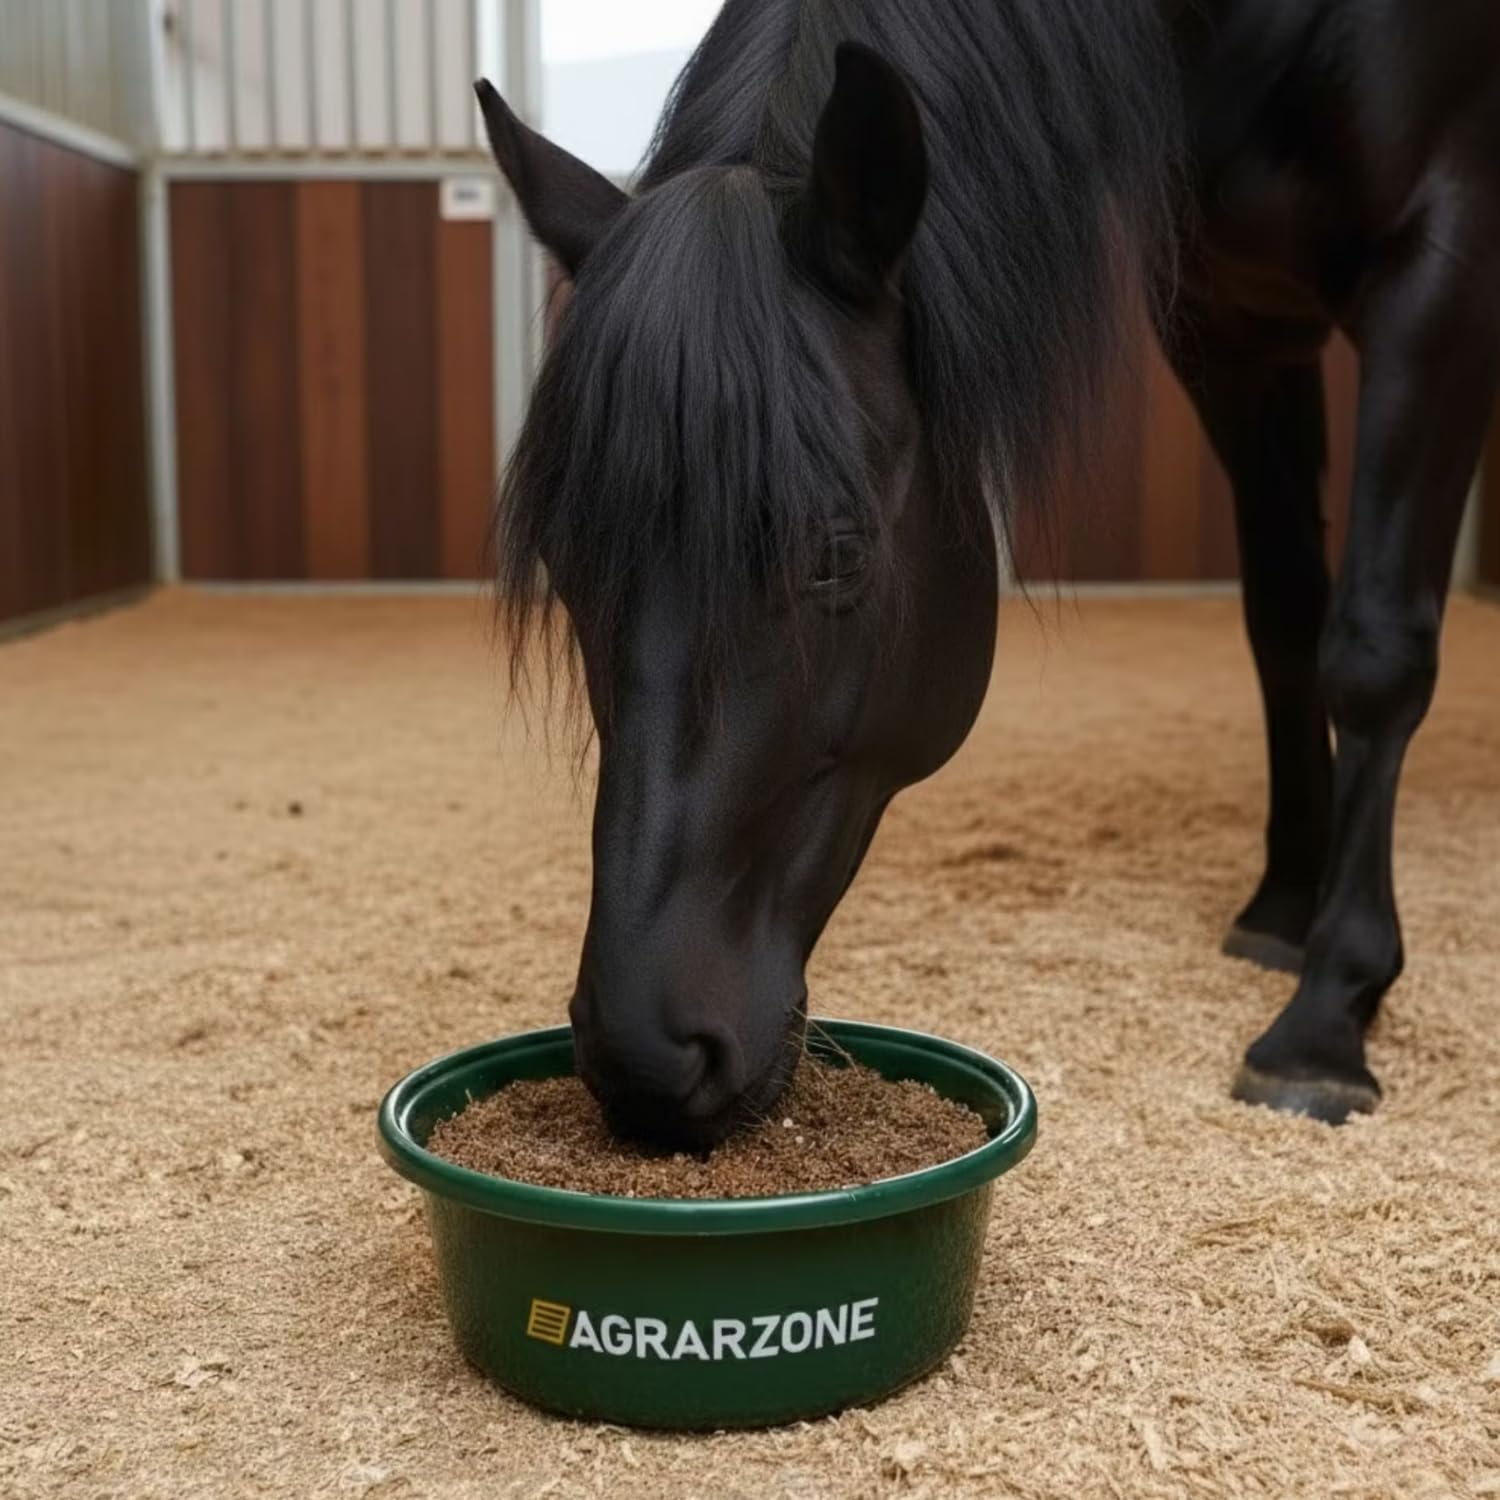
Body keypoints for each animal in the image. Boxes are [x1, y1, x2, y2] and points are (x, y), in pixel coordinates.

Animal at [474, 0, 1500, 1145]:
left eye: (836, 555)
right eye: (568, 562)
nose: (646, 1059)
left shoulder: (1440, 270)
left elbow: (1371, 652)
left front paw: (1326, 1019)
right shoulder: (1237, 322)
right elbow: (1282, 617)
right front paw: (1285, 902)